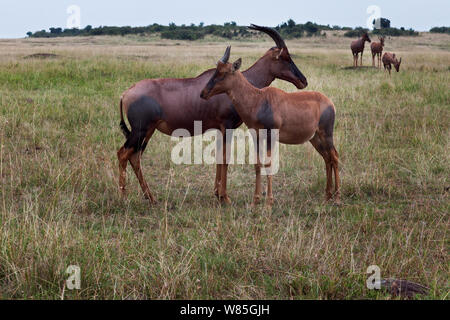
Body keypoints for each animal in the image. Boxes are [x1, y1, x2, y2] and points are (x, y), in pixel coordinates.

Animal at [116, 25, 308, 205]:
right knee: (123, 154)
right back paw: (124, 198)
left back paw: (150, 197)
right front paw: (225, 197)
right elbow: (226, 157)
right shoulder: (227, 126)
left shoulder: (218, 129)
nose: (303, 81)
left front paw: (217, 193)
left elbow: (218, 157)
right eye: (285, 57)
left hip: (147, 131)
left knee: (135, 157)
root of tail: (125, 94)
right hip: (140, 130)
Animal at [201, 47, 342, 208]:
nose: (203, 93)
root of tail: (330, 103)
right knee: (327, 158)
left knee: (334, 157)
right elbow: (257, 163)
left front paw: (268, 202)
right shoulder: (256, 135)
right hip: (315, 138)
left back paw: (337, 198)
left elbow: (268, 164)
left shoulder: (270, 135)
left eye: (224, 72)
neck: (259, 98)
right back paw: (327, 196)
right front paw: (255, 201)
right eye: (215, 71)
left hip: (326, 134)